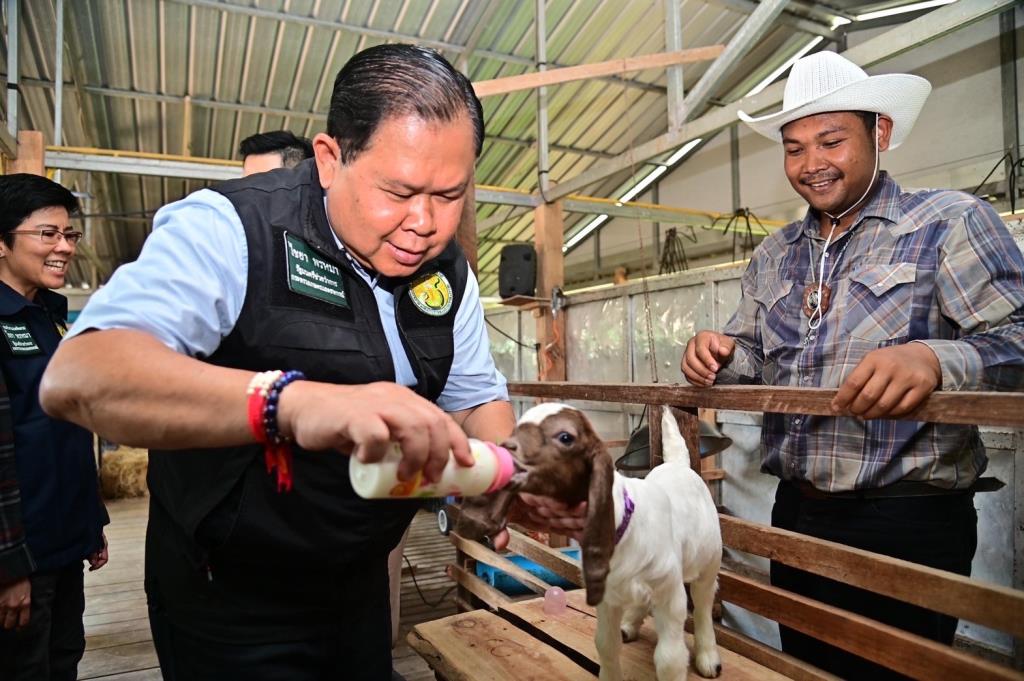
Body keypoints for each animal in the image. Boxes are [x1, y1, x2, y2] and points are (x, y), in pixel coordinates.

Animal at [460, 403, 724, 679]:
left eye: (566, 437)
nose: (503, 456)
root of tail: (678, 465)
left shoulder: (669, 595)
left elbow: (669, 658)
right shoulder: (608, 597)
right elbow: (605, 644)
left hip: (709, 562)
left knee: (704, 603)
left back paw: (708, 658)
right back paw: (629, 625)